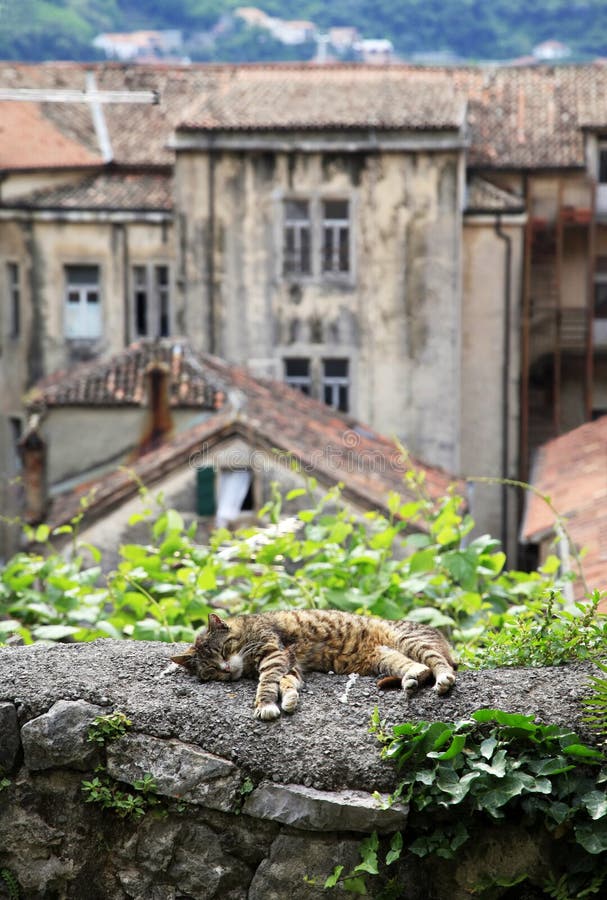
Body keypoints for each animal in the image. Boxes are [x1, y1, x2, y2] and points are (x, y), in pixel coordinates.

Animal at [171, 608, 456, 720]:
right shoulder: (290, 663)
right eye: (211, 670)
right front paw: (288, 699)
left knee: (439, 663)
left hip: (410, 641)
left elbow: (267, 682)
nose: (226, 669)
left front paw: (265, 705)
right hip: (384, 657)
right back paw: (412, 678)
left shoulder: (274, 654)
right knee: (418, 668)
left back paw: (443, 679)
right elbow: (287, 682)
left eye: (223, 650)